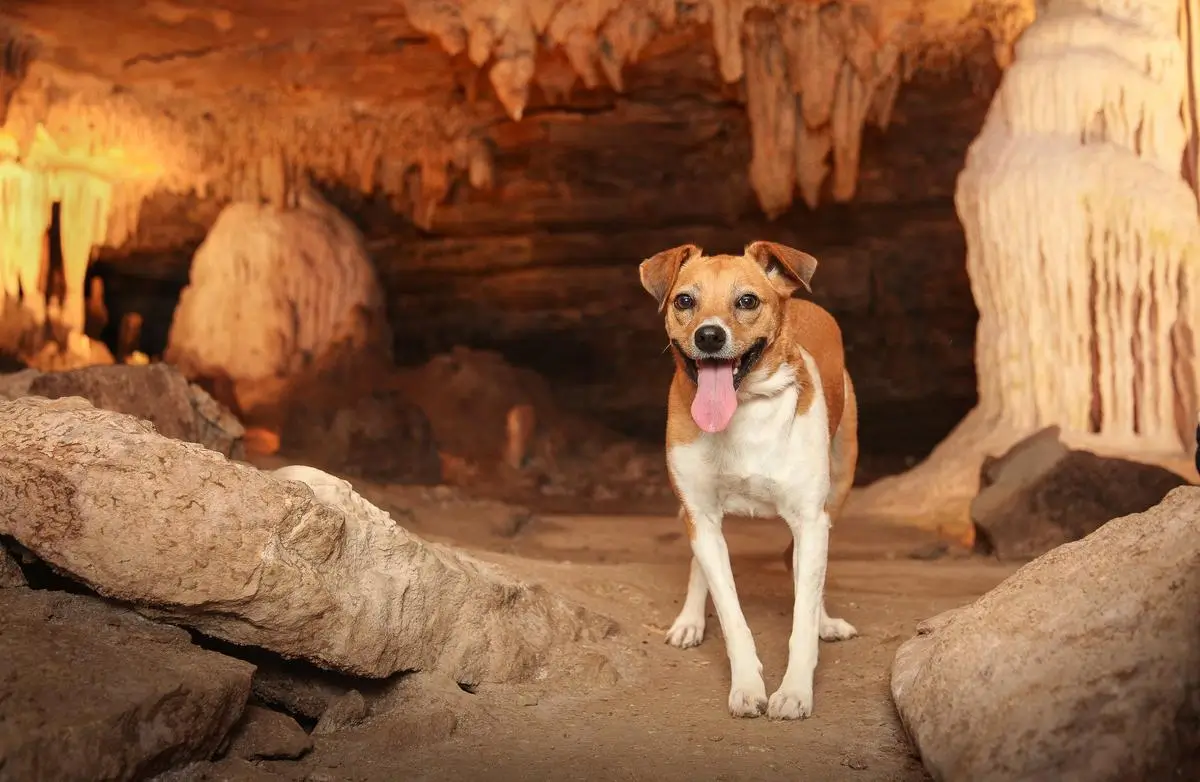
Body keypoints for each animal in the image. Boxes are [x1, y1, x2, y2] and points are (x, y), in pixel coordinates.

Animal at [638, 239, 864, 719]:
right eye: (684, 301)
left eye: (747, 301)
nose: (709, 336)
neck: (743, 412)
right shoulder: (702, 516)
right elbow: (730, 611)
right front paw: (746, 685)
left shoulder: (810, 521)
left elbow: (801, 615)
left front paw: (795, 691)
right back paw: (689, 620)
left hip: (837, 489)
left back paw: (824, 619)